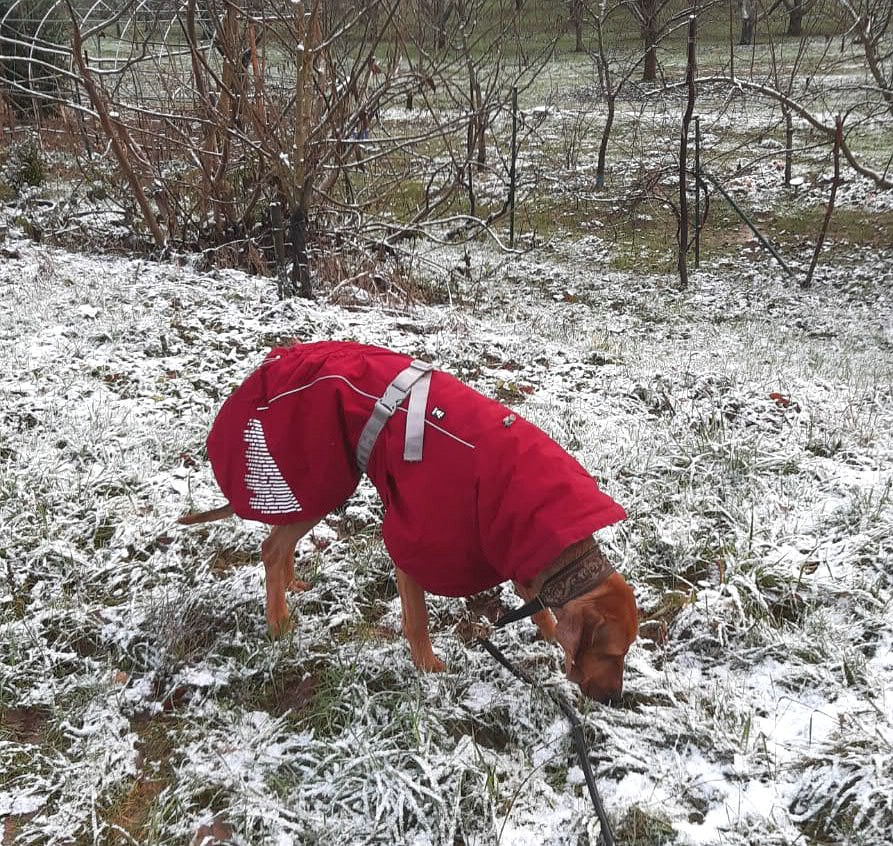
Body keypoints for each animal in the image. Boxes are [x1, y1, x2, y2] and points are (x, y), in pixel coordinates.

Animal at [179, 342, 636, 704]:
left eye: (626, 654)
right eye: (611, 654)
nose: (615, 700)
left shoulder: (513, 545)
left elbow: (539, 608)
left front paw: (547, 633)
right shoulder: (418, 542)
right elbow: (417, 620)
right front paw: (429, 670)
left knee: (281, 541)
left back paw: (292, 584)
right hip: (319, 475)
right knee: (272, 547)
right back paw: (278, 622)